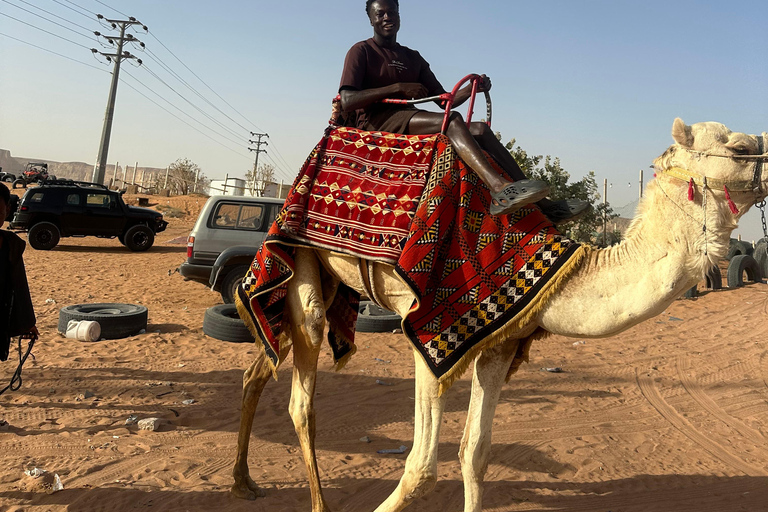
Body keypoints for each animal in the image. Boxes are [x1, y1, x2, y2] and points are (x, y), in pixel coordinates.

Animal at [231, 118, 768, 512]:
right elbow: (421, 468)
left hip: (329, 281)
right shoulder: (429, 336)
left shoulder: (500, 341)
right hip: (298, 261)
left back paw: (243, 483)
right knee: (301, 397)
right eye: (741, 147)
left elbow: (475, 452)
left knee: (259, 366)